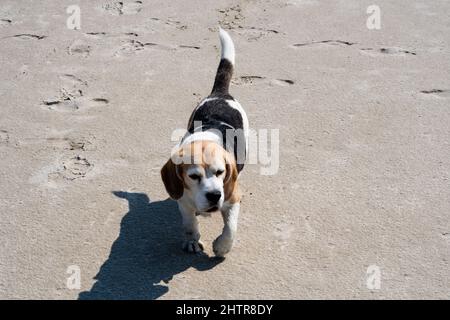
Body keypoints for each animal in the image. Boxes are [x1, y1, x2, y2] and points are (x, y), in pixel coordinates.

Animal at [162, 28, 248, 258]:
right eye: (193, 176)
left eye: (220, 172)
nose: (214, 195)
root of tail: (220, 93)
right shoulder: (183, 201)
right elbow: (189, 223)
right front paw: (192, 240)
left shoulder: (233, 197)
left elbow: (231, 228)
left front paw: (222, 246)